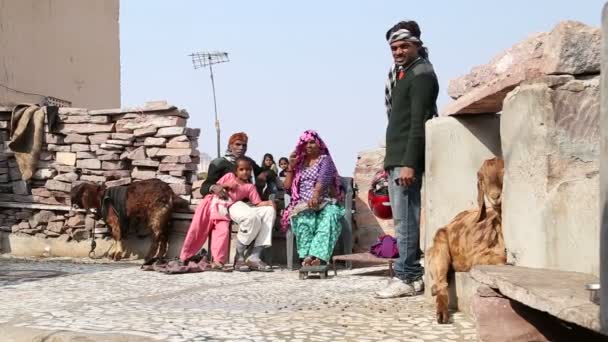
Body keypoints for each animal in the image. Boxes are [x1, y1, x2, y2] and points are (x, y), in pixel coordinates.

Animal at [426, 158, 506, 324]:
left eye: (504, 171)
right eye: (482, 178)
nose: (495, 196)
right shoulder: (476, 257)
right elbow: (502, 258)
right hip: (439, 248)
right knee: (442, 282)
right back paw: (442, 313)